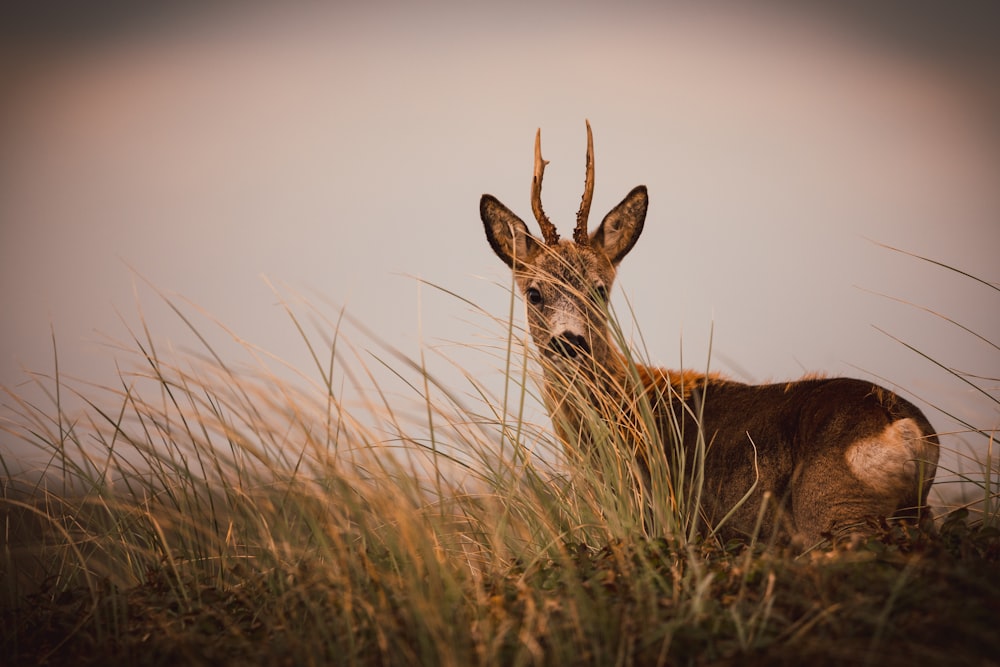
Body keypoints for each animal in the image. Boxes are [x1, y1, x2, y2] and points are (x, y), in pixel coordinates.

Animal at [480, 122, 940, 552]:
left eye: (598, 289)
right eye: (534, 293)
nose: (568, 341)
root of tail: (905, 427)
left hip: (832, 509)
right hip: (912, 512)